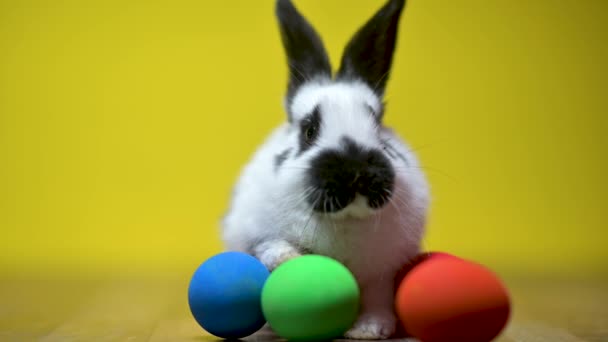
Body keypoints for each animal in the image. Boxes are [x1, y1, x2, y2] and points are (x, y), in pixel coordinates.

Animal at [221, 0, 430, 338]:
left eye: (378, 127)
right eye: (309, 130)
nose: (355, 170)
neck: (344, 221)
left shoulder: (381, 273)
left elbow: (378, 299)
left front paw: (368, 330)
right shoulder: (259, 234)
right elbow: (273, 248)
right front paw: (291, 260)